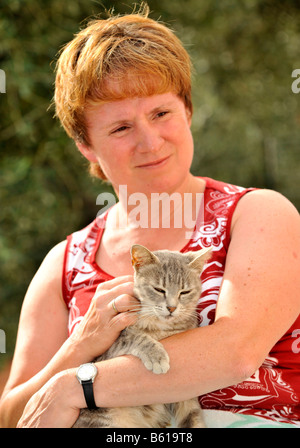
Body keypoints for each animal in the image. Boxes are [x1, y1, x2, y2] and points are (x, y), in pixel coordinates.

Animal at [73, 243, 212, 428]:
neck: (162, 328)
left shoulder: (187, 399)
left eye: (184, 292)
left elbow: (193, 417)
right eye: (159, 290)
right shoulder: (110, 348)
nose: (172, 307)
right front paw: (157, 356)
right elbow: (137, 337)